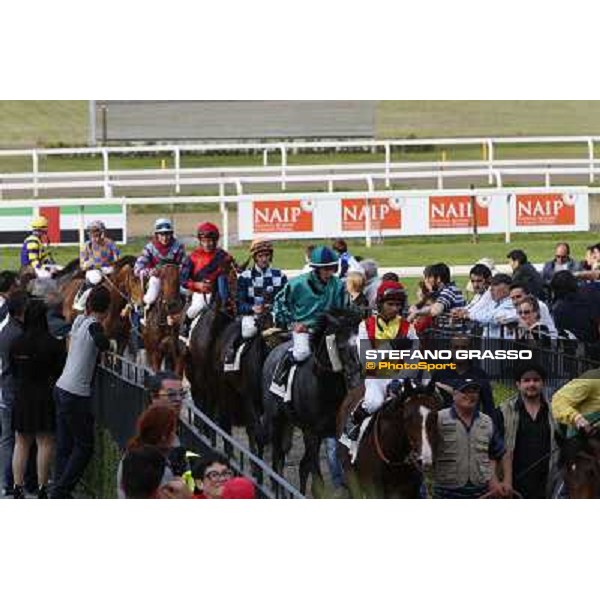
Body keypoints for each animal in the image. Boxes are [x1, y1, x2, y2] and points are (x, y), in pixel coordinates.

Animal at [262, 308, 360, 494]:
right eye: (341, 346)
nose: (357, 378)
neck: (325, 388)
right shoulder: (311, 433)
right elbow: (318, 483)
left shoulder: (340, 435)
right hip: (276, 421)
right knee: (277, 461)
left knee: (300, 466)